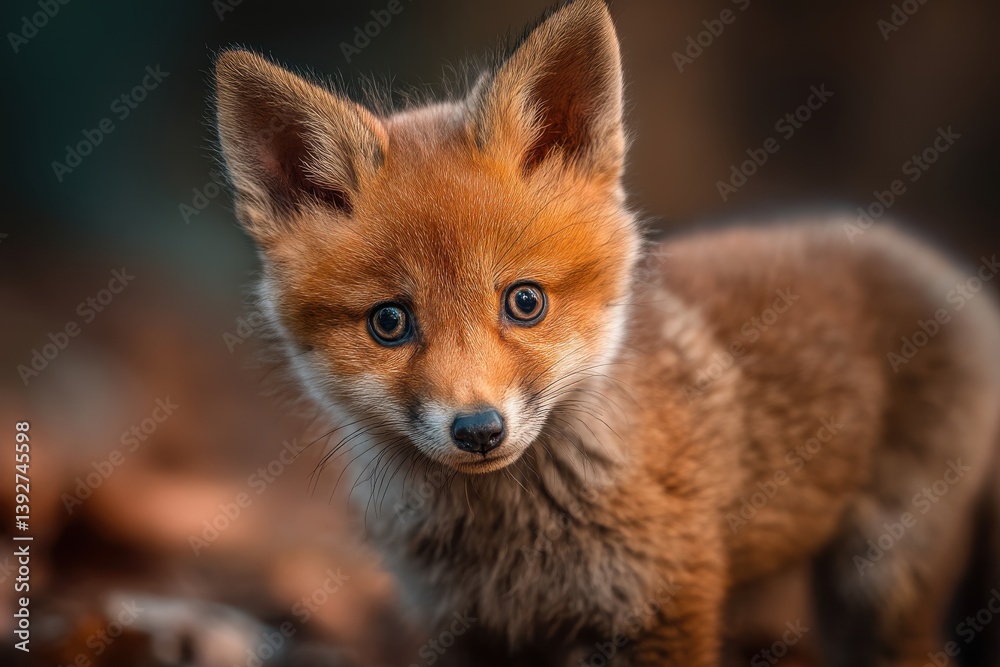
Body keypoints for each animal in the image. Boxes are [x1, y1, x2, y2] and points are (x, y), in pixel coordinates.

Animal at [212, 0, 1000, 665]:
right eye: (389, 321)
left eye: (525, 302)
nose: (478, 430)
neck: (509, 541)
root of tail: (923, 252)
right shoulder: (466, 627)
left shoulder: (663, 609)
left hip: (881, 579)